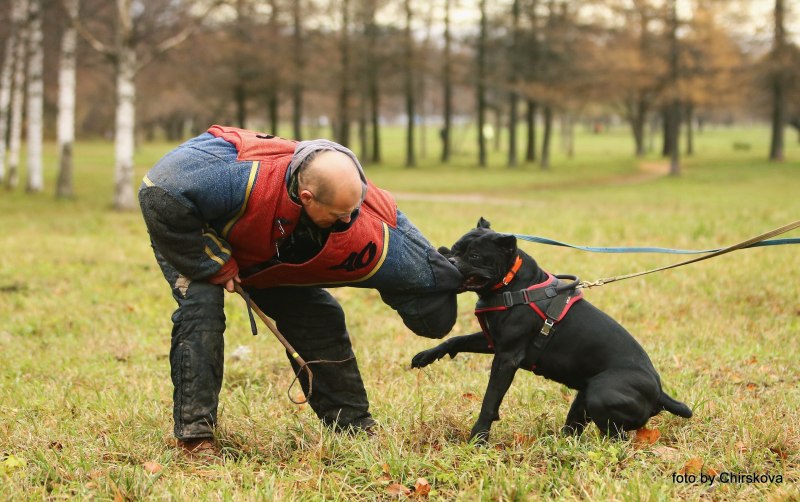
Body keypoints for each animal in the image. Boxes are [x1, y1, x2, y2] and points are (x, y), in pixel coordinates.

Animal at [410, 218, 692, 442]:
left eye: (475, 256)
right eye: (454, 248)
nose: (449, 259)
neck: (512, 284)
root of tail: (660, 393)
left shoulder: (507, 358)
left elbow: (490, 400)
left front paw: (478, 438)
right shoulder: (492, 342)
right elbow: (457, 339)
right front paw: (428, 355)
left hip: (601, 392)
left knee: (617, 436)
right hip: (584, 397)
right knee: (576, 426)